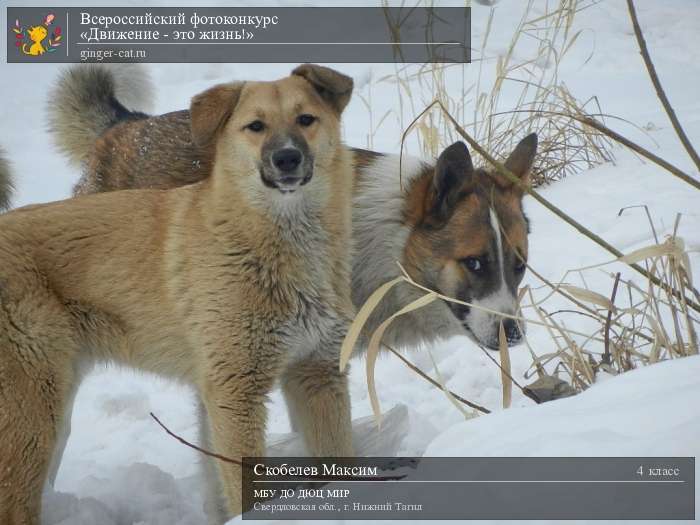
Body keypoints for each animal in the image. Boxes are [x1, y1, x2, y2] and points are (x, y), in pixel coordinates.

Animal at [0, 65, 356, 524]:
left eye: (306, 119)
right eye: (255, 126)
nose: (287, 158)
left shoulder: (318, 377)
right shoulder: (235, 392)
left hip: (53, 412)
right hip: (32, 415)